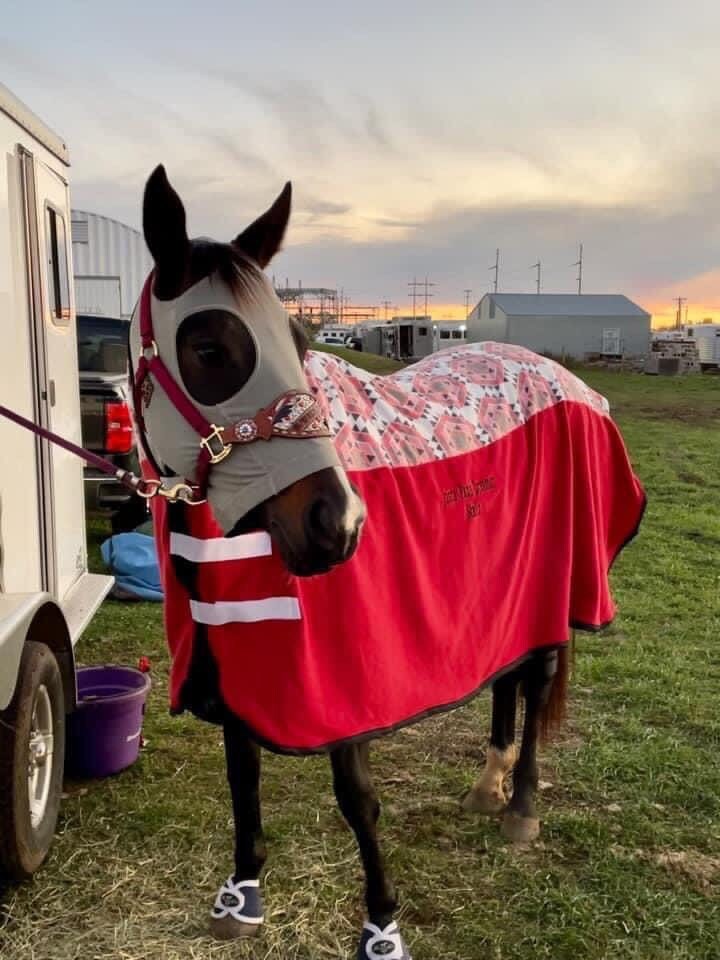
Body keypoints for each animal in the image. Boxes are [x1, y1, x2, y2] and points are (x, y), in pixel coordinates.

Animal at [129, 166, 645, 960]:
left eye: (298, 339)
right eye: (209, 348)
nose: (339, 525)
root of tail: (566, 380)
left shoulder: (346, 683)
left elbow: (357, 801)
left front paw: (382, 924)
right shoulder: (232, 659)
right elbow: (242, 774)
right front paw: (242, 893)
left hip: (560, 581)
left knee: (538, 679)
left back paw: (520, 804)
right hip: (507, 586)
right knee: (507, 673)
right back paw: (489, 783)